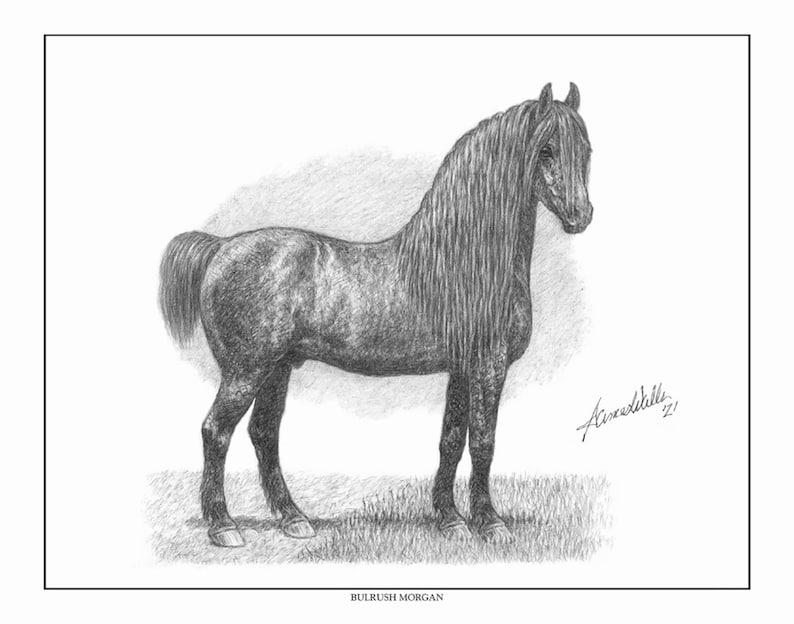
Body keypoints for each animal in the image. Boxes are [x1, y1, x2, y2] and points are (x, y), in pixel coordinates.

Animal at [159, 83, 594, 547]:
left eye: (586, 149)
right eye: (546, 149)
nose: (581, 216)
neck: (462, 260)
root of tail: (221, 247)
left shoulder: (462, 369)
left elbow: (451, 441)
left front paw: (450, 519)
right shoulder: (487, 366)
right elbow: (483, 442)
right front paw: (490, 523)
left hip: (277, 369)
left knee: (263, 433)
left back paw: (293, 519)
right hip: (245, 370)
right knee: (215, 431)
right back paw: (223, 526)